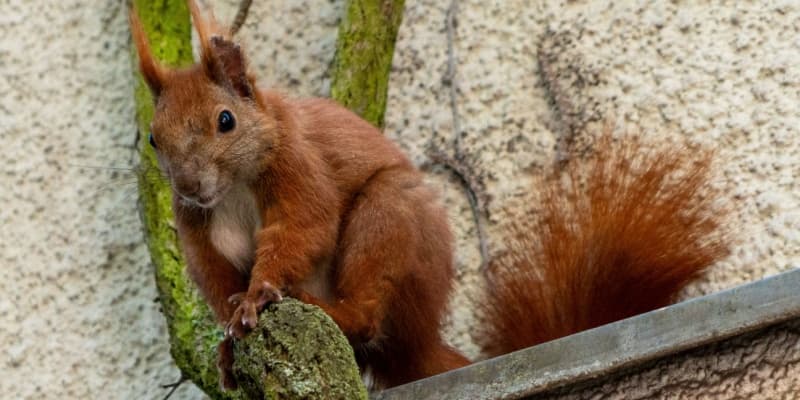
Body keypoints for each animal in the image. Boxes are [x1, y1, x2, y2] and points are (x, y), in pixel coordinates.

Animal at [130, 1, 730, 391]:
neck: (230, 191)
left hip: (389, 218)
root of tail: (422, 342)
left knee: (367, 316)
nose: (189, 185)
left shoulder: (301, 169)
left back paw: (327, 310)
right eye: (154, 138)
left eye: (225, 120)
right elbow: (217, 280)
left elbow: (302, 226)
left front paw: (258, 297)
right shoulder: (199, 234)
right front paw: (227, 346)